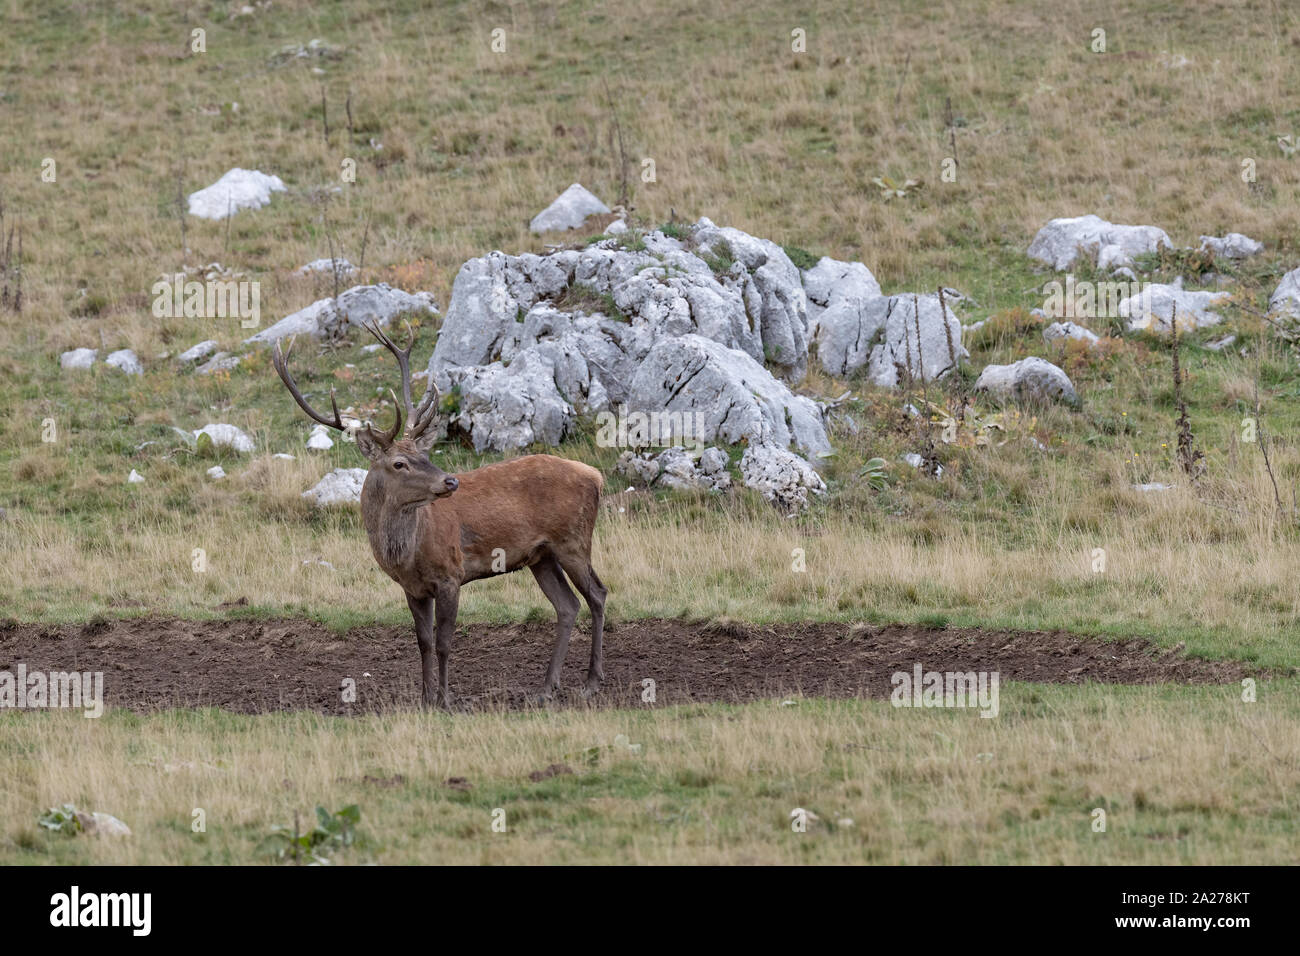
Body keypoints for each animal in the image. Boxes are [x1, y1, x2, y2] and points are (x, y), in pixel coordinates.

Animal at [271, 320, 607, 709]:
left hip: (573, 539)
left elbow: (446, 641)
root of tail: (596, 475)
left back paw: (591, 682)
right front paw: (424, 697)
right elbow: (423, 642)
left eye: (424, 454)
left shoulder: (451, 575)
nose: (451, 481)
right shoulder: (412, 589)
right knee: (567, 606)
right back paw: (546, 687)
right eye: (399, 463)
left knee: (597, 594)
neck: (406, 555)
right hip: (541, 556)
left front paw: (445, 699)